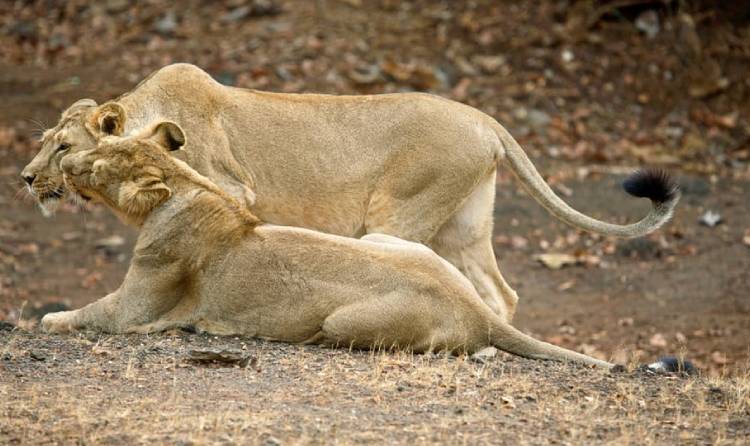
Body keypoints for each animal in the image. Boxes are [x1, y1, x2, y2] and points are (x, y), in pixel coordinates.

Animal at [22, 62, 680, 322]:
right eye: (45, 143)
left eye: (62, 147)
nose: (26, 178)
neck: (146, 112)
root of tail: (484, 118)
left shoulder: (232, 188)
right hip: (464, 224)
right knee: (500, 291)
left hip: (400, 212)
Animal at [41, 122, 612, 370]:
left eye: (97, 163)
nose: (67, 163)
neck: (187, 186)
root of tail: (474, 310)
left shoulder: (134, 309)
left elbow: (88, 313)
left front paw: (51, 318)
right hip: (391, 240)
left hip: (342, 320)